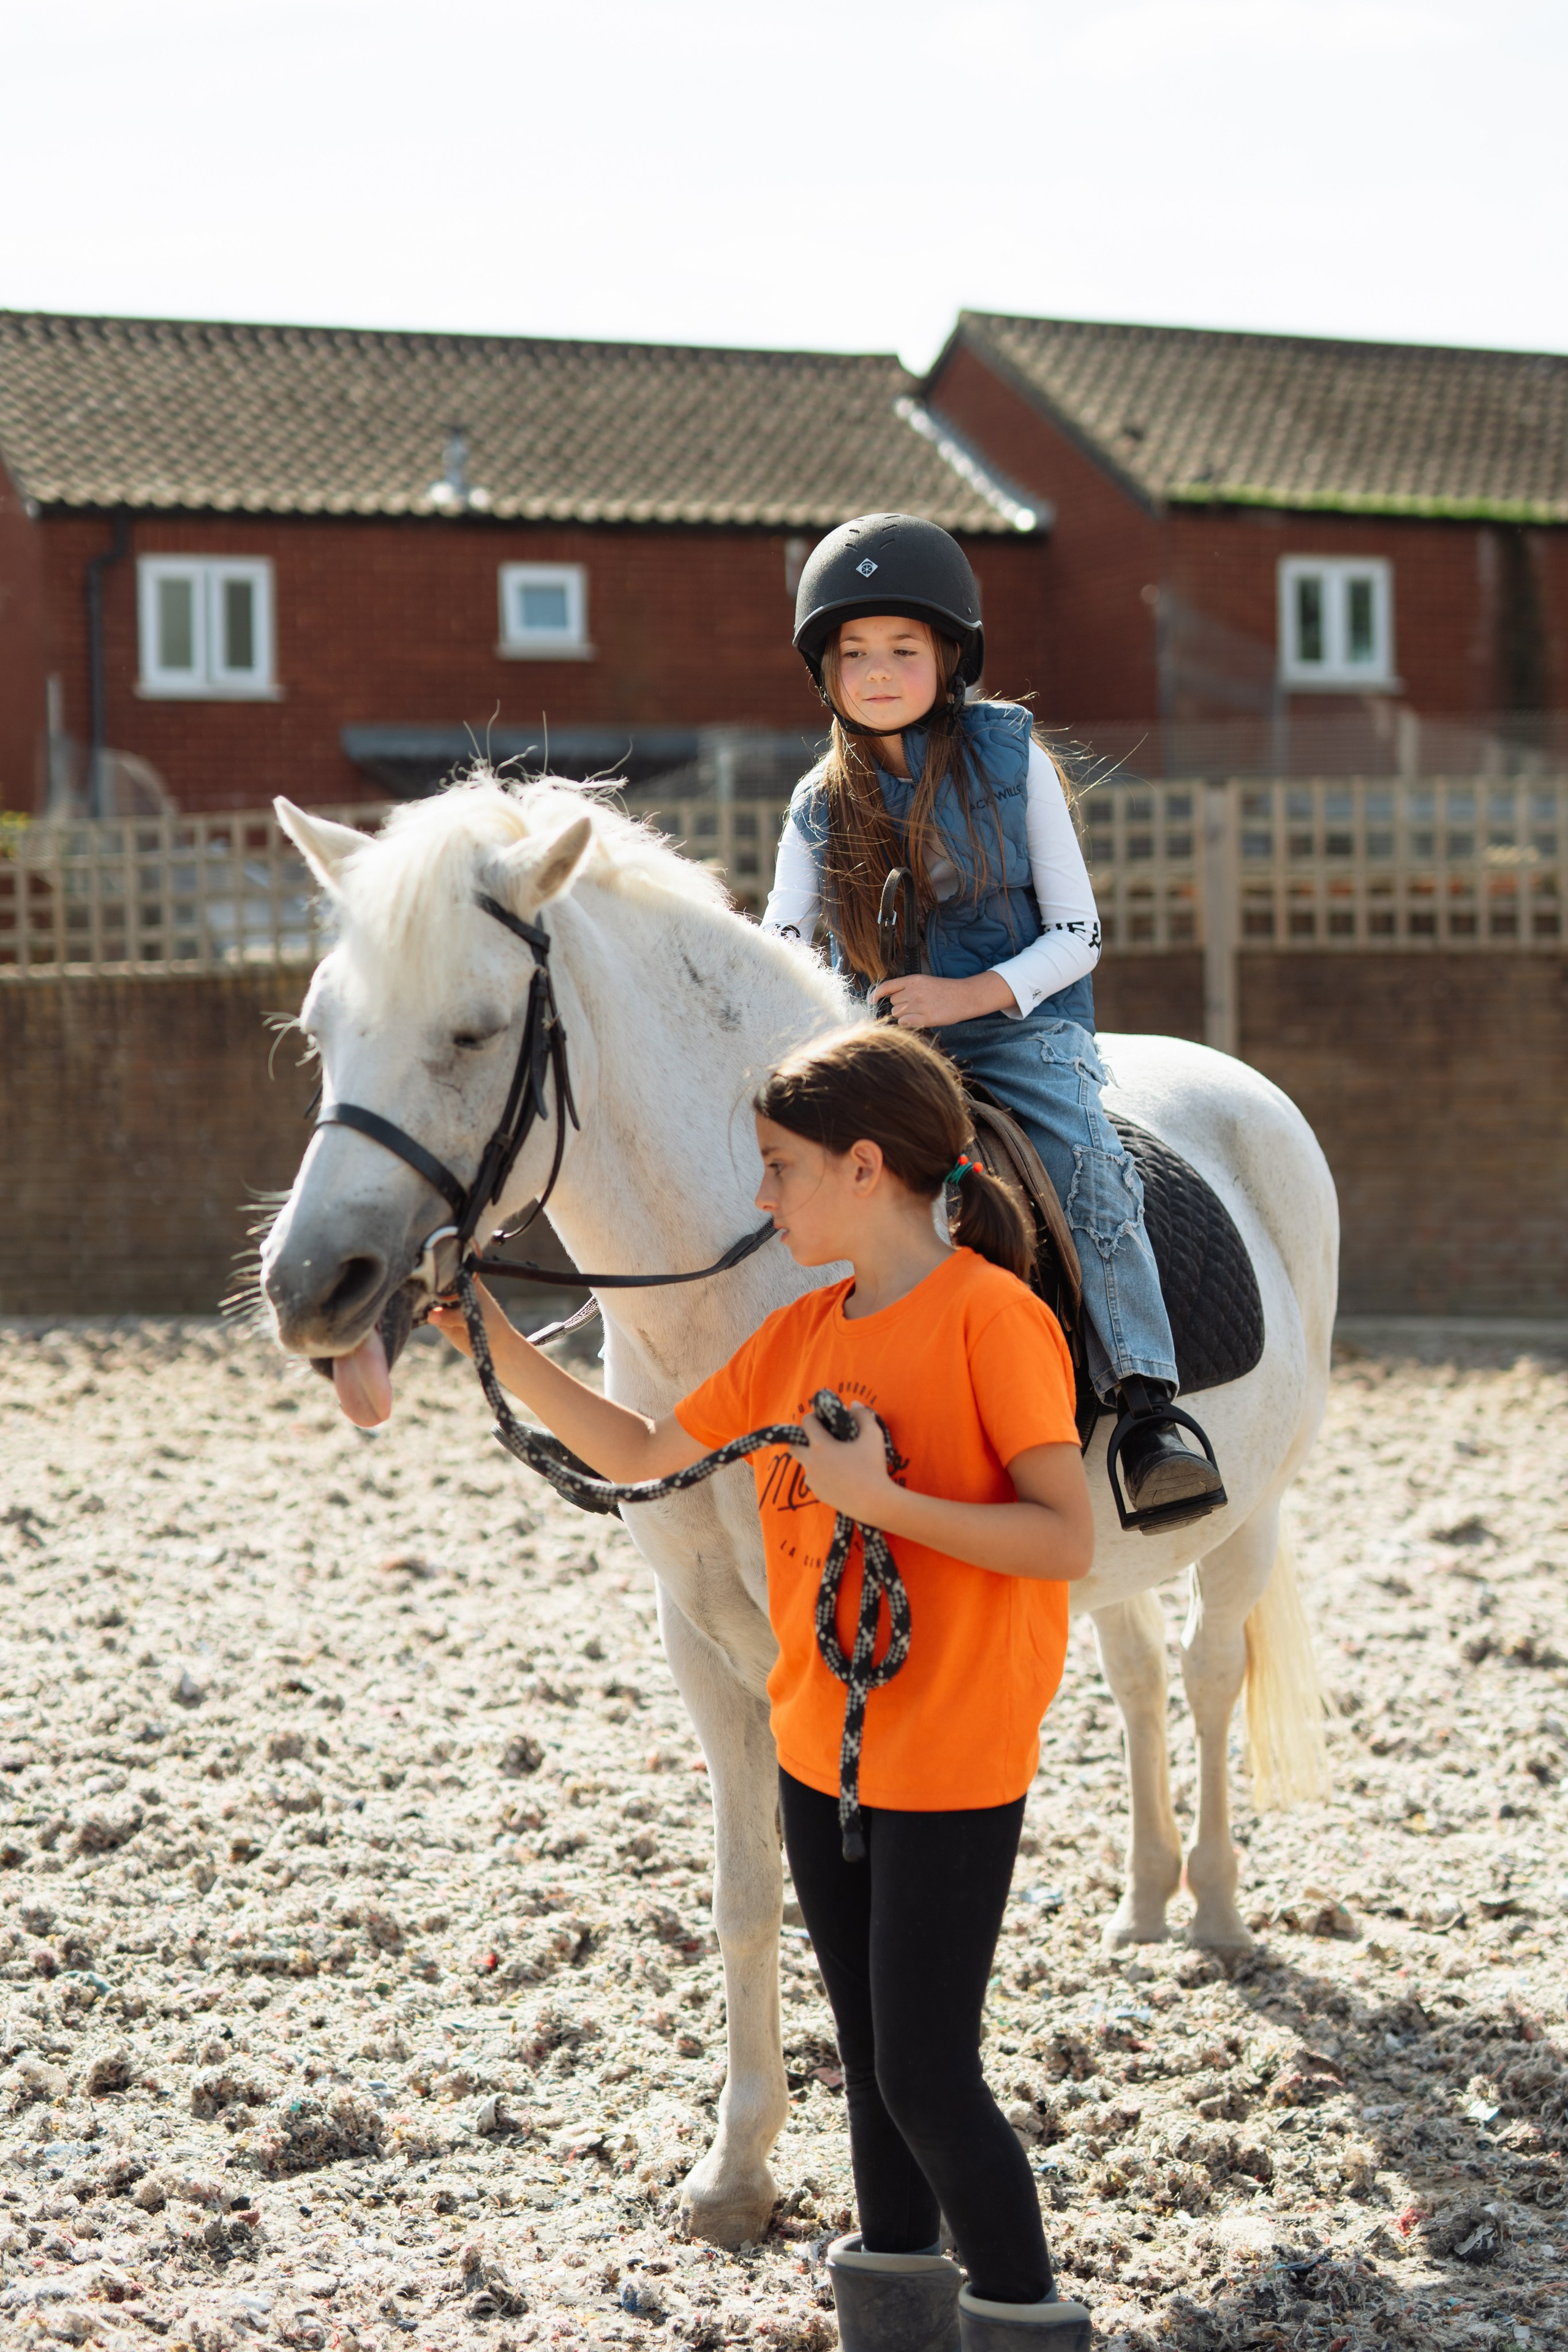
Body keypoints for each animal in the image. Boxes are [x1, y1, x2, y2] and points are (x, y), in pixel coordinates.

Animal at [260, 775, 1337, 2249]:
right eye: (319, 1030)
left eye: (472, 1031)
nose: (312, 1285)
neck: (760, 1273)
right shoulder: (705, 1641)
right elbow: (746, 1894)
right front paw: (738, 2171)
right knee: (1133, 1676)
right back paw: (1141, 1899)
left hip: (1250, 1520)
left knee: (1213, 1670)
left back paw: (1216, 1912)